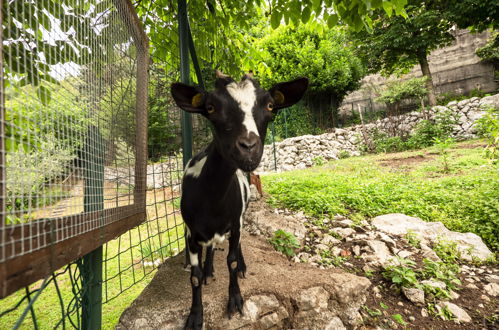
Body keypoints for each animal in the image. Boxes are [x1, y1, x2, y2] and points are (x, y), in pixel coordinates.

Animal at [173, 71, 308, 328]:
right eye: (210, 107)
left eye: (270, 106)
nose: (248, 147)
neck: (212, 201)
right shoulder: (191, 233)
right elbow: (194, 277)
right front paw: (195, 315)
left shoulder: (235, 223)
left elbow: (232, 261)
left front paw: (235, 300)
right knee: (211, 248)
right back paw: (209, 270)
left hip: (242, 217)